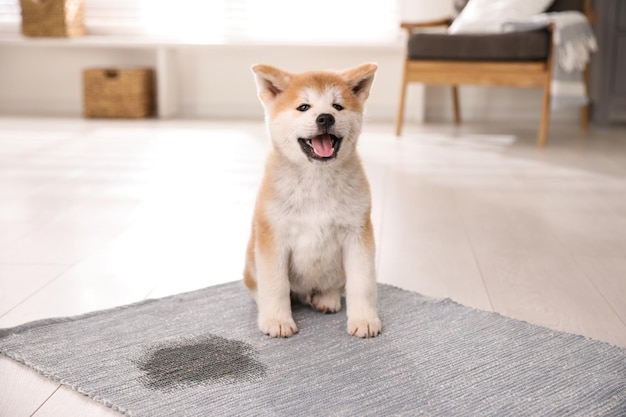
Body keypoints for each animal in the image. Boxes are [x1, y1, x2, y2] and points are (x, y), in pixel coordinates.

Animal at [244, 62, 380, 338]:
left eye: (337, 106)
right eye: (304, 107)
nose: (325, 117)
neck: (316, 179)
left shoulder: (357, 233)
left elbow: (362, 283)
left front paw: (364, 319)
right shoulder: (274, 236)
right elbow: (275, 285)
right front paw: (277, 321)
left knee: (335, 285)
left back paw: (327, 299)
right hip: (251, 260)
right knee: (261, 287)